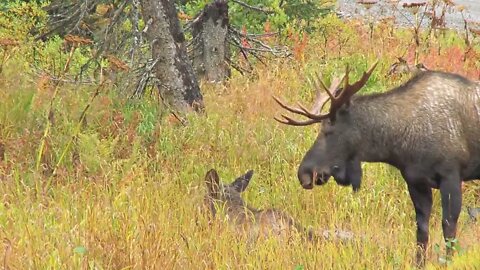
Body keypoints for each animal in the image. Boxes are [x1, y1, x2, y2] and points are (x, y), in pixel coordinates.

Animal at [274, 62, 480, 266]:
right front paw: (418, 263)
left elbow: (449, 228)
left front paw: (449, 262)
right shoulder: (415, 181)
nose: (304, 172)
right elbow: (421, 230)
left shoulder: (451, 175)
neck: (400, 144)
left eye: (328, 130)